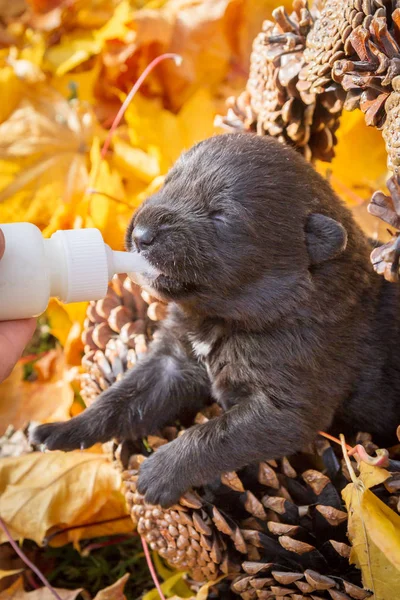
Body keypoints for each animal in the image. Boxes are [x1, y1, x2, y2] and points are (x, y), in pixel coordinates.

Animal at [32, 132, 400, 506]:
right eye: (168, 182)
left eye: (221, 216)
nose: (141, 234)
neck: (219, 319)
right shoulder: (172, 360)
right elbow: (120, 396)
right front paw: (62, 429)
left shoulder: (288, 407)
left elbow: (215, 433)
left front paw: (159, 472)